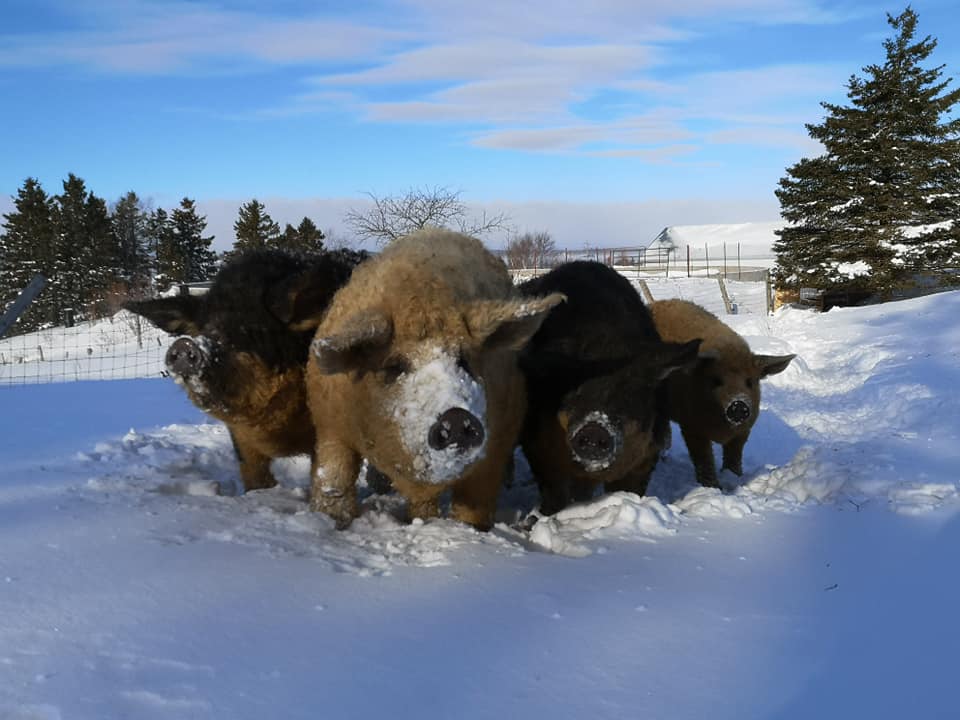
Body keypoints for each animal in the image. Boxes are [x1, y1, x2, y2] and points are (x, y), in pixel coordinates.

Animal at [302, 228, 564, 532]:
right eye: (394, 366)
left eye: (464, 360)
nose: (456, 417)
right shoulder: (329, 425)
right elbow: (334, 478)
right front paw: (332, 521)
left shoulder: (495, 443)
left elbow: (475, 504)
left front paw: (470, 530)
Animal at [516, 262, 696, 516]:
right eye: (572, 387)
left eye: (629, 390)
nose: (594, 429)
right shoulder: (537, 445)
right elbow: (554, 492)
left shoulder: (647, 456)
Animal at [648, 298, 800, 490]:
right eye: (716, 381)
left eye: (750, 381)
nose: (738, 404)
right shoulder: (691, 427)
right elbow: (703, 459)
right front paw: (713, 487)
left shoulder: (744, 431)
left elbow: (734, 456)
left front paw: (735, 479)